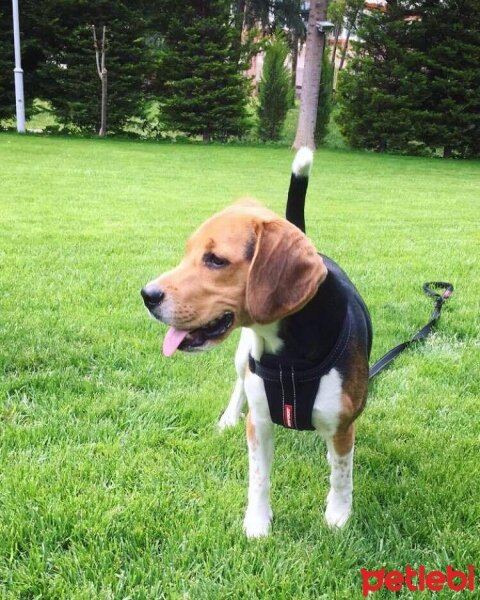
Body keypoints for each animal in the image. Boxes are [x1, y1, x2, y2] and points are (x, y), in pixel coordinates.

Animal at [141, 149, 374, 540]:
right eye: (188, 252)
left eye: (215, 260)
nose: (147, 295)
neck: (291, 357)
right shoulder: (260, 421)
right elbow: (259, 477)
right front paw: (257, 522)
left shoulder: (343, 426)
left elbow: (341, 475)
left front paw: (338, 515)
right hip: (242, 358)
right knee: (239, 385)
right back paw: (228, 417)